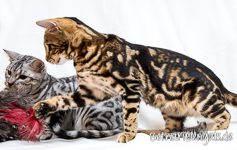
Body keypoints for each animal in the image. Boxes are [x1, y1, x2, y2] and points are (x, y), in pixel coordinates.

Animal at [34, 17, 236, 142]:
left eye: (48, 46)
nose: (46, 59)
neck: (86, 54)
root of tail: (219, 82)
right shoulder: (91, 92)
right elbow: (62, 99)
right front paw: (44, 106)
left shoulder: (130, 87)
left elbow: (130, 116)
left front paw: (128, 135)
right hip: (169, 108)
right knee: (174, 129)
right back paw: (152, 132)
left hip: (198, 97)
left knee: (225, 115)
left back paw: (216, 130)